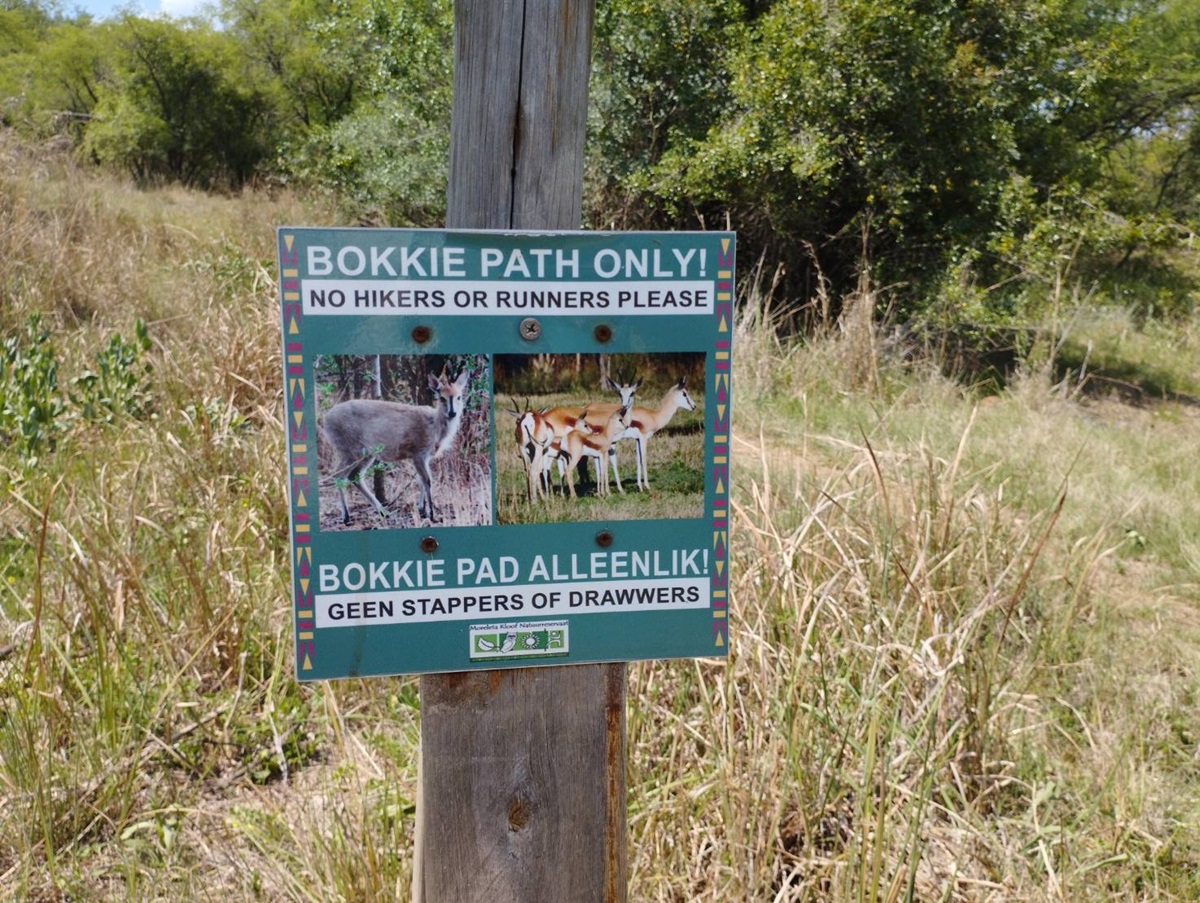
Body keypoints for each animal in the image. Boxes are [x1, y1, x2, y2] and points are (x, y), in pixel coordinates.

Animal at [324, 365, 468, 525]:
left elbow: (421, 480)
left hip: (366, 453)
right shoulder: (418, 452)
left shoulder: (424, 456)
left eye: (459, 397)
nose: (452, 413)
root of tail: (325, 420)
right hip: (349, 448)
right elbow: (427, 480)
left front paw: (422, 510)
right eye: (442, 398)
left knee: (354, 476)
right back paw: (346, 517)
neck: (434, 426)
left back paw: (384, 512)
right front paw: (431, 514)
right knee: (339, 475)